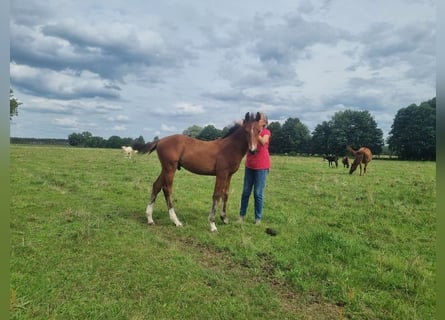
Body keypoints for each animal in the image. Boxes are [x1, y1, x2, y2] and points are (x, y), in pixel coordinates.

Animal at [134, 112, 262, 232]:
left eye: (259, 130)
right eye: (246, 131)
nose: (253, 150)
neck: (229, 148)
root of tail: (160, 140)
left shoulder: (229, 175)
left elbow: (225, 194)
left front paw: (224, 218)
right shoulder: (221, 174)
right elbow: (216, 195)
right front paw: (212, 224)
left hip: (165, 168)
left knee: (156, 186)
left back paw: (150, 219)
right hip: (170, 168)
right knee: (167, 189)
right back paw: (176, 221)